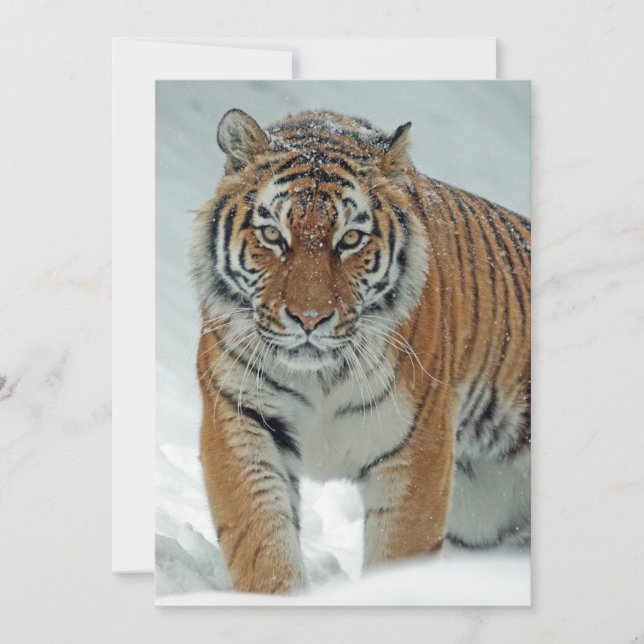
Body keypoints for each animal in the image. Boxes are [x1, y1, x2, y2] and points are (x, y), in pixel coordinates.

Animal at [192, 108, 531, 594]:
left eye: (350, 239)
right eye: (273, 235)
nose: (309, 319)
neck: (319, 376)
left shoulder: (417, 446)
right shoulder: (240, 419)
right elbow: (262, 545)